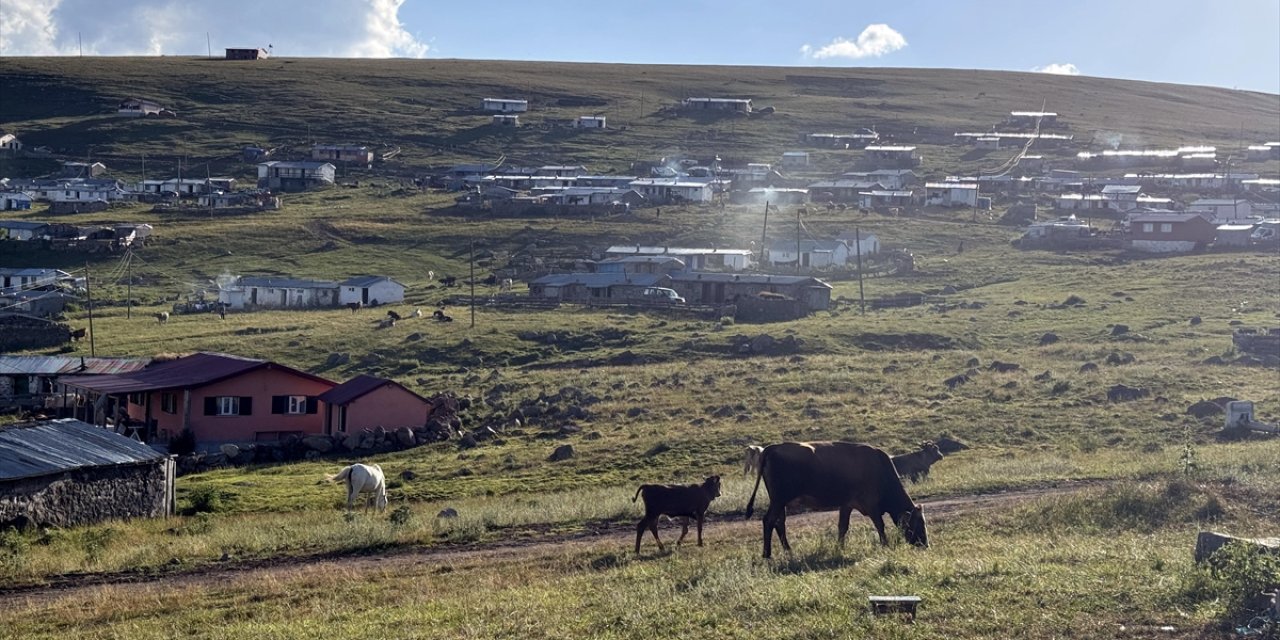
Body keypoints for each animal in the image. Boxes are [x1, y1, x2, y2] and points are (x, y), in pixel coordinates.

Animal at [742, 442, 931, 558]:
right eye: (918, 523)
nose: (926, 545)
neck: (880, 469)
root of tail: (771, 448)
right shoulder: (870, 503)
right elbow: (880, 525)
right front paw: (885, 545)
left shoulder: (846, 504)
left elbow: (843, 527)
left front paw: (839, 548)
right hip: (779, 500)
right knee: (769, 521)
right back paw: (767, 554)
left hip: (781, 502)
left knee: (779, 523)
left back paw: (788, 550)